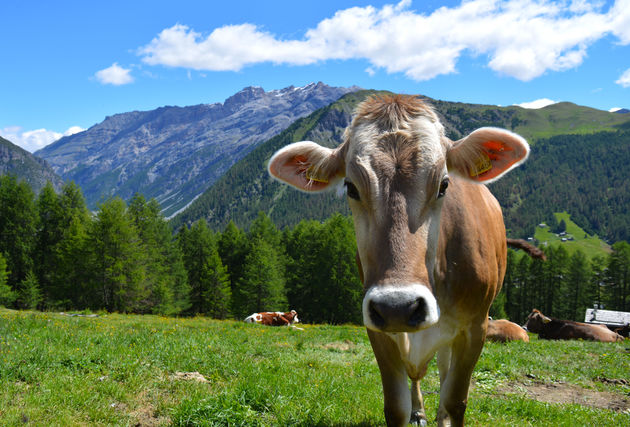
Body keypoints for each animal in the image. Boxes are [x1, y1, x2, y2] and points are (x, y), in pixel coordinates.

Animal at [270, 94, 532, 427]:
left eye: (444, 185)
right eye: (351, 187)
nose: (398, 305)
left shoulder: (475, 326)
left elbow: (455, 400)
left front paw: (446, 414)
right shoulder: (376, 326)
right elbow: (395, 406)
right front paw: (413, 410)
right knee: (417, 375)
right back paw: (419, 411)